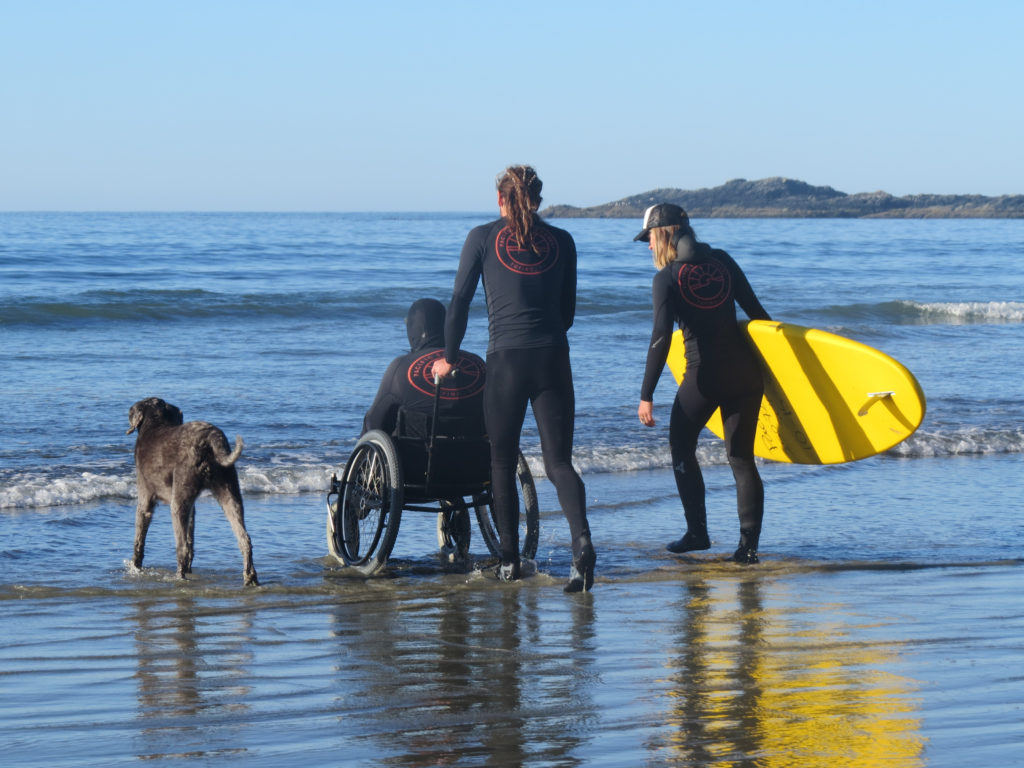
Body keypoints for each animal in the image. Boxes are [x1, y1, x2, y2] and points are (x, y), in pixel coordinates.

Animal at [126, 399, 260, 585]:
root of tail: (211, 439)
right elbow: (191, 538)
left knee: (181, 547)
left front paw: (135, 567)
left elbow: (139, 539)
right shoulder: (192, 507)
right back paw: (250, 578)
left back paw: (179, 577)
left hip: (178, 499)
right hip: (229, 491)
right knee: (244, 538)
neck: (154, 422)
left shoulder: (145, 498)